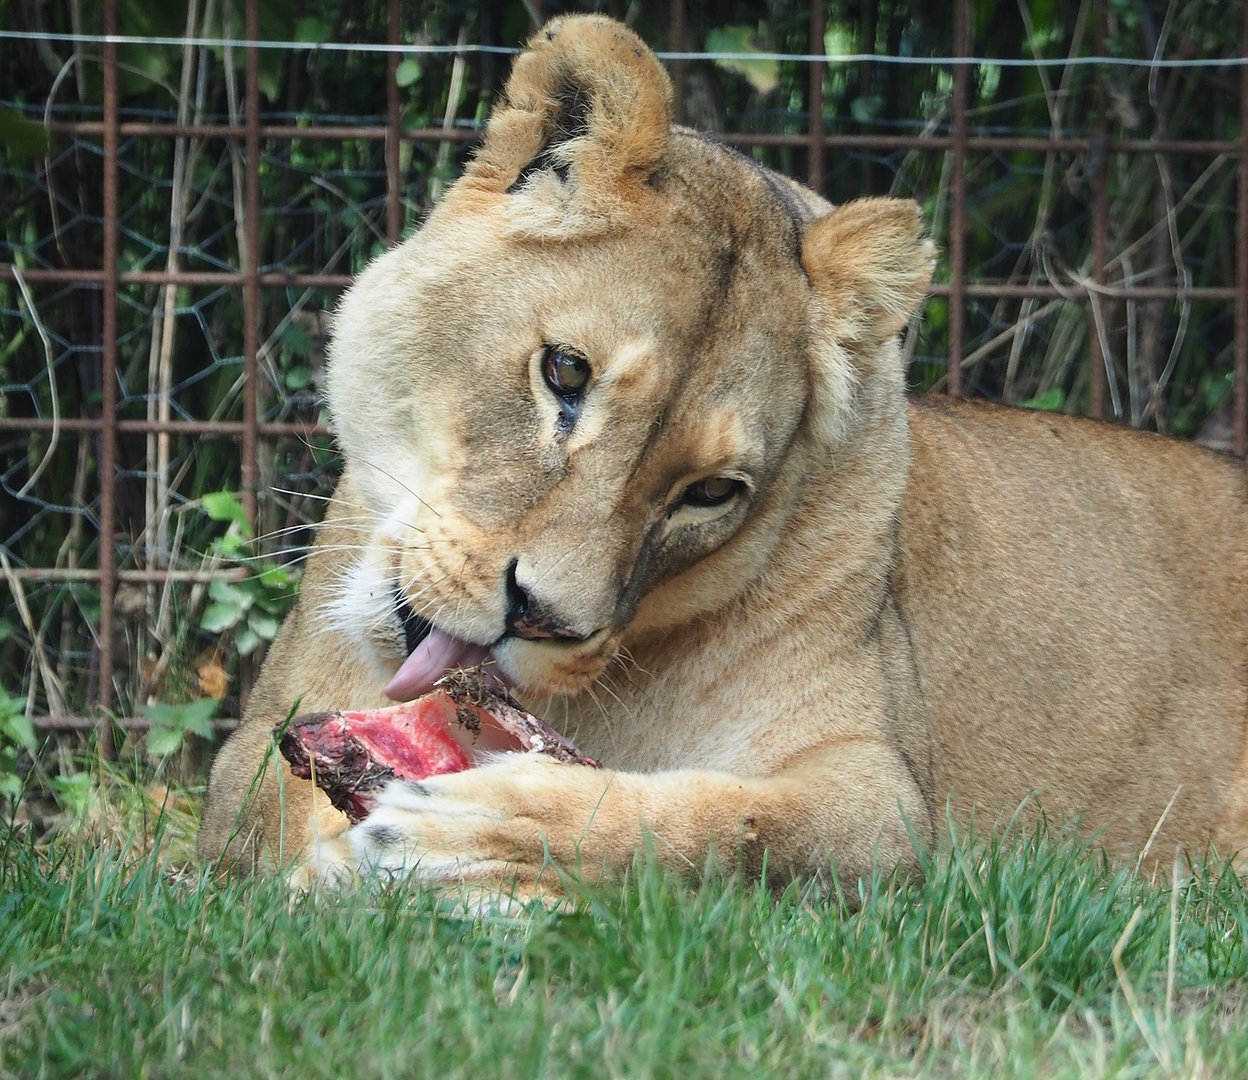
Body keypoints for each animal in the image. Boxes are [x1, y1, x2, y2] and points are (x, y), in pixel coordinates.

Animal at [197, 15, 1248, 898]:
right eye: (564, 372)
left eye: (709, 491)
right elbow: (267, 806)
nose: (540, 620)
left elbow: (728, 825)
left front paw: (483, 834)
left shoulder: (886, 798)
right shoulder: (252, 745)